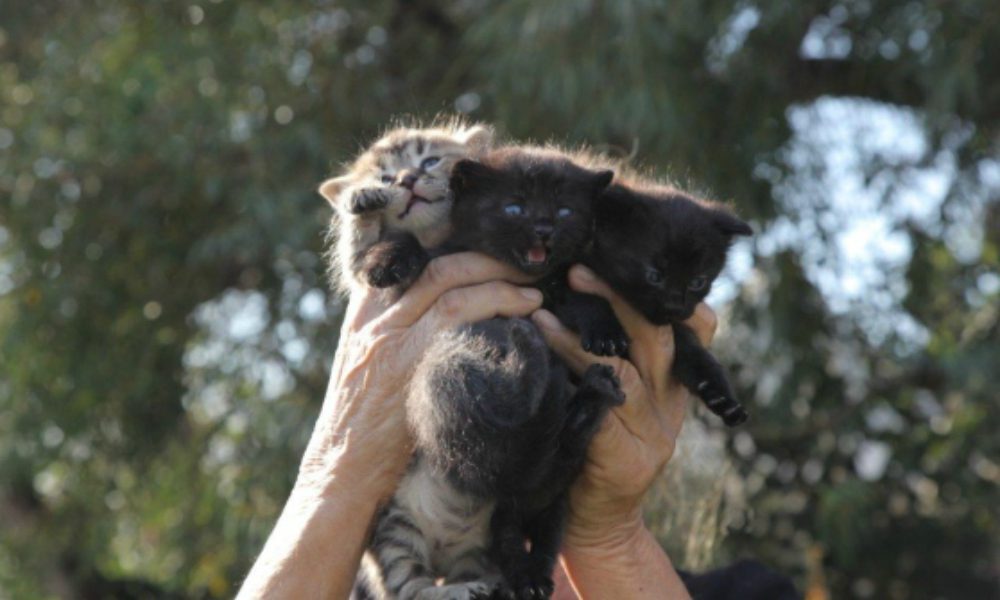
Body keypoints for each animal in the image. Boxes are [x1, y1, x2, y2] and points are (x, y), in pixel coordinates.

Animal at [318, 120, 494, 294]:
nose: (407, 179)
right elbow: (356, 252)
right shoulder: (359, 272)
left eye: (431, 162)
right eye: (385, 179)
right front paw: (361, 198)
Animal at [584, 183, 752, 426]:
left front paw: (721, 396)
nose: (674, 307)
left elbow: (693, 350)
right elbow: (581, 298)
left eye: (697, 282)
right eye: (654, 276)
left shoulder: (676, 326)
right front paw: (605, 334)